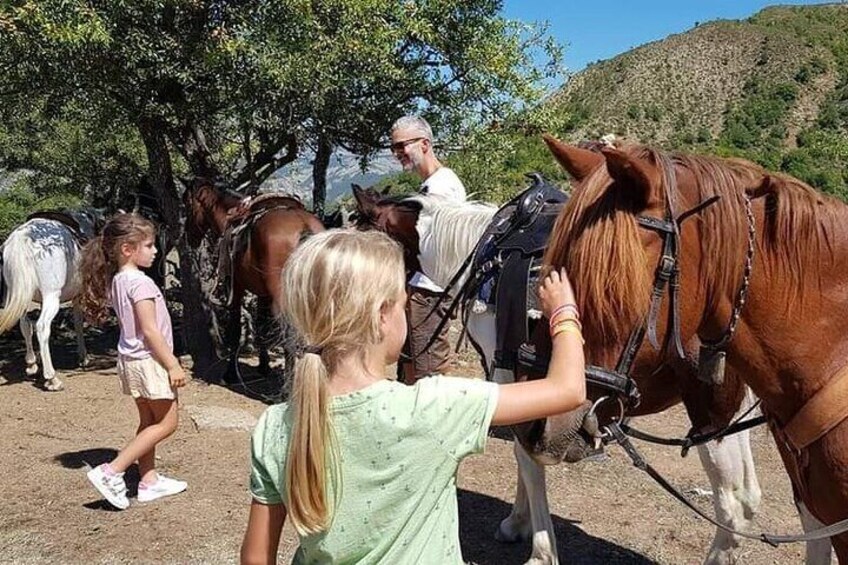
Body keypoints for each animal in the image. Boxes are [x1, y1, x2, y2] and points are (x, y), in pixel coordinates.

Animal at [0, 214, 90, 390]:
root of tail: (24, 237)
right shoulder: (77, 296)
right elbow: (78, 324)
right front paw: (83, 357)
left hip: (23, 298)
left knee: (26, 326)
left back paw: (31, 364)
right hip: (52, 296)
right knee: (41, 327)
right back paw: (51, 378)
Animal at [184, 181, 326, 384]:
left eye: (188, 205)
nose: (188, 235)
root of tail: (303, 226)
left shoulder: (236, 287)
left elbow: (235, 330)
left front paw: (231, 374)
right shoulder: (263, 293)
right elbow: (261, 326)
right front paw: (264, 366)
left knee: (289, 335)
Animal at [354, 191, 832, 564]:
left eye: (355, 227)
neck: (482, 256)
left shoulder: (508, 373)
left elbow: (528, 458)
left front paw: (539, 549)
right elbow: (524, 454)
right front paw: (517, 522)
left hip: (714, 415)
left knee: (736, 506)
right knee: (811, 509)